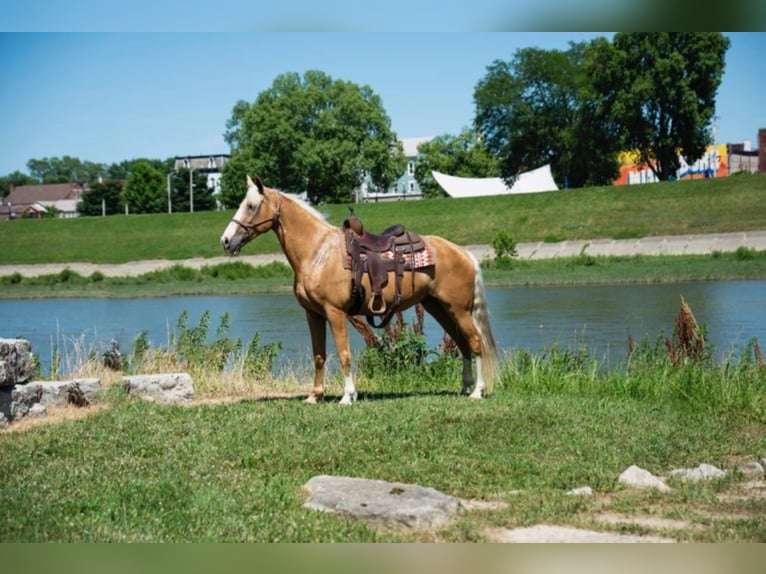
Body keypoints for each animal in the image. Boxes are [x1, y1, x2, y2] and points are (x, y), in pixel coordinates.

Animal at [222, 176, 498, 404]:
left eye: (251, 206)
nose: (226, 240)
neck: (318, 252)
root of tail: (464, 253)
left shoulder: (334, 313)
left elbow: (343, 354)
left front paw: (348, 396)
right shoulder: (313, 314)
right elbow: (319, 355)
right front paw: (314, 396)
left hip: (459, 310)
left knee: (475, 343)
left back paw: (477, 391)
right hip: (439, 308)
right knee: (463, 344)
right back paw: (466, 387)